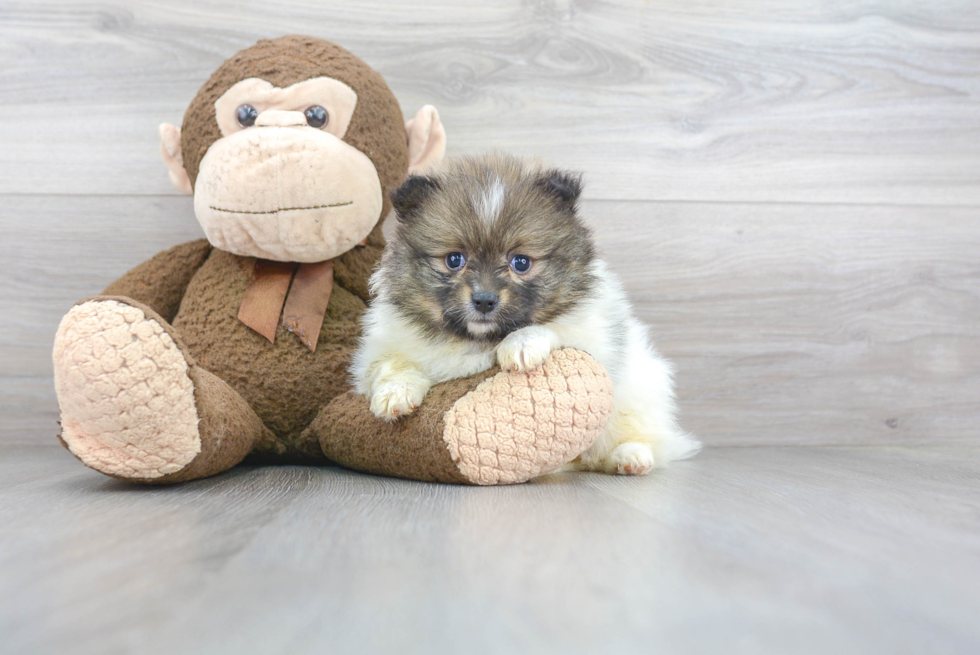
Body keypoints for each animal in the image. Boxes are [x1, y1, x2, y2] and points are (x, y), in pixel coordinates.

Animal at [350, 152, 696, 476]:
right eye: (454, 259)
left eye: (521, 262)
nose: (484, 300)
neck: (480, 340)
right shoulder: (383, 348)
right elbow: (392, 366)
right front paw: (395, 393)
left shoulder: (592, 336)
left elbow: (556, 328)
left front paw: (521, 344)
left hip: (640, 389)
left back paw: (630, 456)